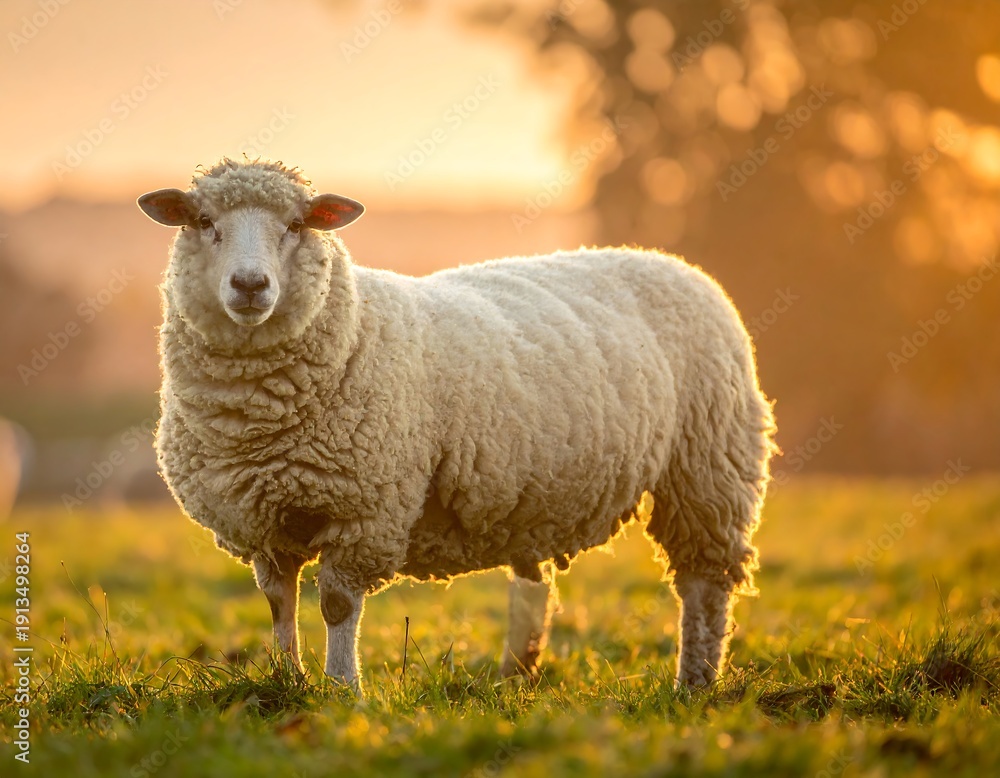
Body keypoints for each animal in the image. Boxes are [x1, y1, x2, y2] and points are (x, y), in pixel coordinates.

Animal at [137, 158, 776, 692]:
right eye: (203, 221)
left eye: (297, 224)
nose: (250, 286)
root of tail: (670, 261)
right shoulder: (262, 517)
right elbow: (279, 604)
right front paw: (287, 680)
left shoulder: (364, 511)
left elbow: (338, 606)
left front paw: (342, 689)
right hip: (540, 494)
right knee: (534, 588)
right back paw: (516, 677)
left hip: (708, 468)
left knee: (704, 584)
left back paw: (695, 682)